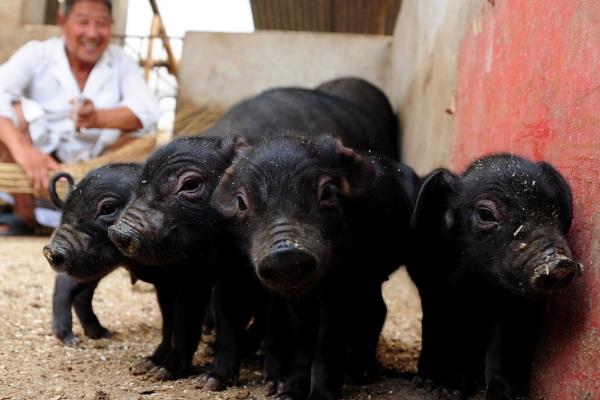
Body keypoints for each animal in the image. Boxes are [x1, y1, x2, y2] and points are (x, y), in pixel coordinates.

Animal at [43, 162, 139, 344]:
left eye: (108, 208)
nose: (50, 249)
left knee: (80, 294)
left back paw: (102, 334)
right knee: (64, 284)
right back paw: (72, 340)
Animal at [211, 135, 422, 400]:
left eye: (327, 192)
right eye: (241, 202)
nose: (285, 252)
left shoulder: (341, 283)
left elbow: (327, 343)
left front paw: (318, 396)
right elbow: (301, 336)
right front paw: (288, 393)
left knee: (376, 311)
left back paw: (359, 373)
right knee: (378, 309)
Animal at [408, 154, 580, 400]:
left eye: (555, 211)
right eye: (486, 214)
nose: (560, 262)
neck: (478, 284)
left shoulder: (507, 303)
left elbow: (498, 349)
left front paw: (501, 395)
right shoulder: (439, 291)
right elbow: (455, 340)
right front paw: (450, 392)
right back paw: (424, 381)